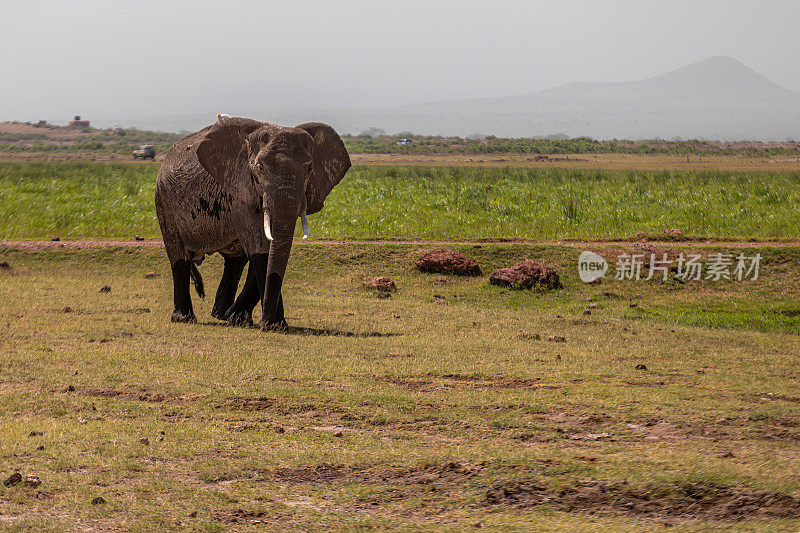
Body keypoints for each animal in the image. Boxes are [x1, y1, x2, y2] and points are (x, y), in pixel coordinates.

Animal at [155, 116, 352, 328]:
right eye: (260, 169)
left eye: (309, 169)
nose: (266, 322)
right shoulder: (239, 193)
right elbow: (260, 250)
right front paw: (273, 325)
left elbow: (266, 250)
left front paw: (243, 318)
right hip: (164, 200)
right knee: (179, 257)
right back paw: (185, 318)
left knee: (236, 261)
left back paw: (222, 314)